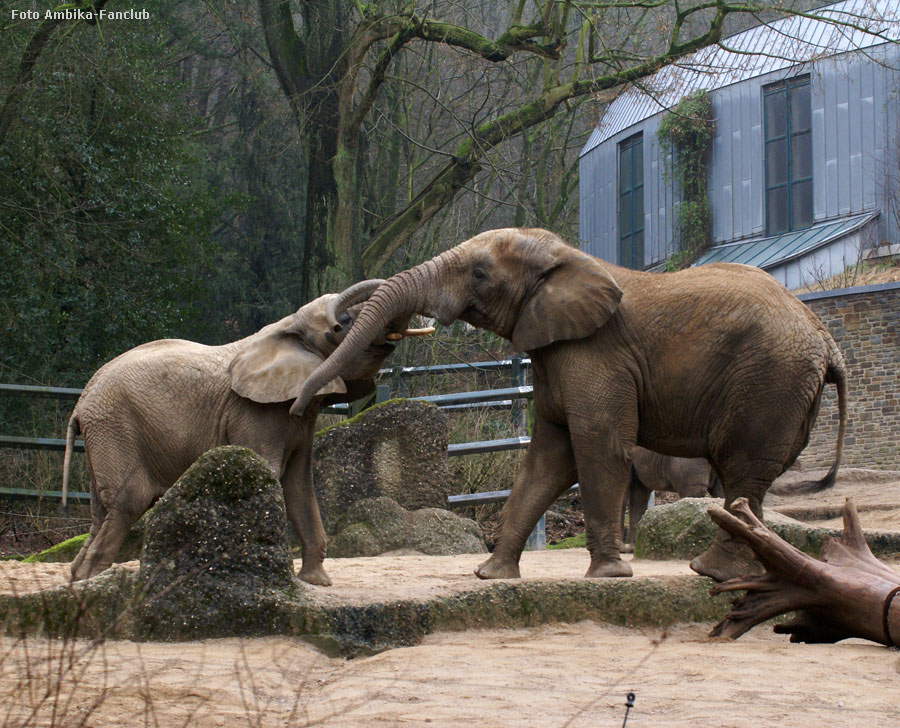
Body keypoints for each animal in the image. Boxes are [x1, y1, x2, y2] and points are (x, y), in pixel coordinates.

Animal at [62, 280, 428, 584]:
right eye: (343, 324)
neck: (287, 326)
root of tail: (80, 404)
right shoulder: (253, 412)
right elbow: (269, 474)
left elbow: (299, 486)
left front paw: (316, 583)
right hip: (115, 426)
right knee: (128, 500)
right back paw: (93, 581)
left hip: (105, 431)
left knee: (102, 510)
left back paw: (79, 577)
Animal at [292, 230, 848, 584]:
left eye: (479, 273)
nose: (298, 408)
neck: (567, 258)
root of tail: (827, 340)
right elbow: (547, 458)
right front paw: (491, 575)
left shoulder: (595, 353)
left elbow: (597, 446)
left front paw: (608, 575)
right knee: (753, 477)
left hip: (770, 381)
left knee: (744, 470)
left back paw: (711, 572)